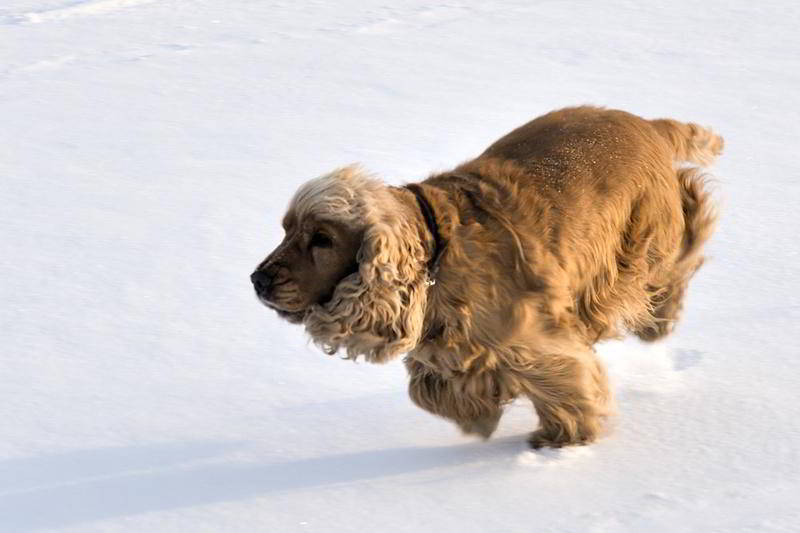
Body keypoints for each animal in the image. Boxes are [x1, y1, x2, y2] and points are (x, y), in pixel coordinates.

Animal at [250, 106, 720, 446]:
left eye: (322, 239)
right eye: (286, 229)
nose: (258, 280)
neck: (435, 254)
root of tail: (649, 125)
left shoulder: (533, 339)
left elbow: (564, 379)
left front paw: (564, 437)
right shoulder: (445, 350)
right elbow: (428, 392)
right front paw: (480, 415)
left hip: (643, 245)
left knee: (683, 249)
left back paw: (659, 321)